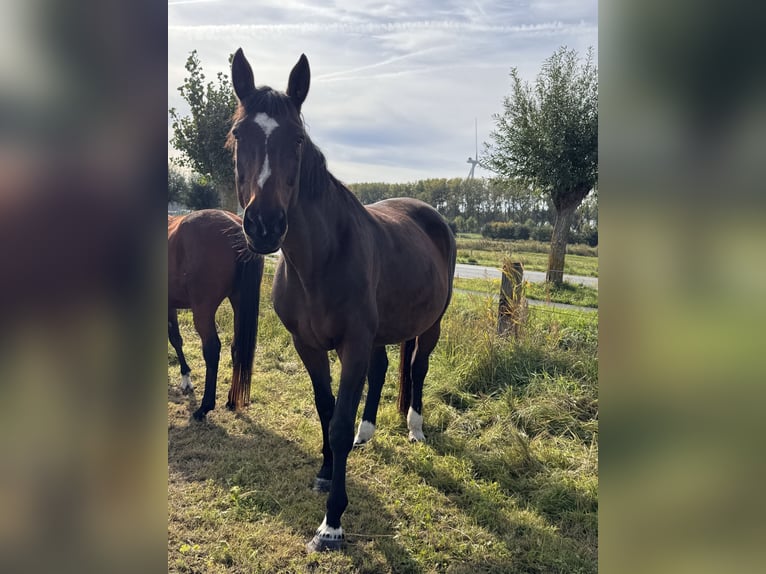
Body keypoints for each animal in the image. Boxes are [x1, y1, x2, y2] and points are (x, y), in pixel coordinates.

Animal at [168, 209, 264, 421]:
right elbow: (176, 338)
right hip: (239, 301)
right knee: (237, 347)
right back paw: (231, 400)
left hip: (203, 310)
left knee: (212, 350)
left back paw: (204, 407)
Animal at [227, 49, 456, 552]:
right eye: (238, 135)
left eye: (296, 139)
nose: (264, 225)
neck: (321, 259)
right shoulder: (308, 345)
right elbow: (326, 409)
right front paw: (327, 472)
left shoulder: (352, 345)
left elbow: (337, 418)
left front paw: (332, 523)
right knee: (384, 370)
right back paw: (364, 435)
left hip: (429, 326)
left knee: (417, 369)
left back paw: (415, 428)